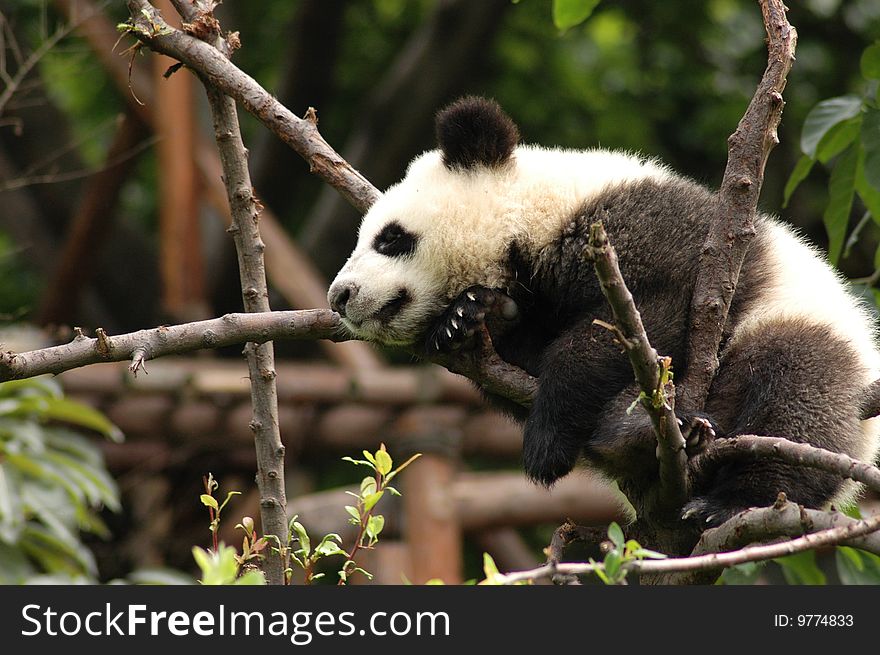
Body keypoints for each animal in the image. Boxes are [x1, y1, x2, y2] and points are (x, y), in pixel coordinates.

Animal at [328, 96, 880, 528]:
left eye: (390, 238)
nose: (339, 297)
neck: (535, 212)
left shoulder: (658, 232)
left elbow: (645, 320)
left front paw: (546, 443)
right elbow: (520, 359)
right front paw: (467, 319)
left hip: (806, 331)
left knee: (798, 394)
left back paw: (725, 496)